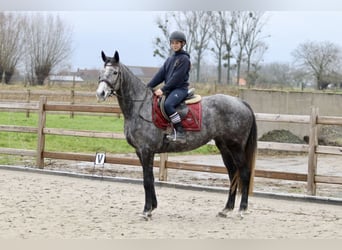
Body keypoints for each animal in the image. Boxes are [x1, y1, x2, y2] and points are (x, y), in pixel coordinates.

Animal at [96, 50, 256, 219]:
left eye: (115, 72)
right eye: (101, 71)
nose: (100, 93)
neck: (140, 107)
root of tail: (241, 102)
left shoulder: (146, 150)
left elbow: (147, 180)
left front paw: (146, 210)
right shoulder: (140, 151)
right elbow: (150, 178)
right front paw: (152, 207)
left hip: (236, 147)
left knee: (244, 172)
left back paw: (242, 209)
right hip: (224, 147)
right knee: (232, 173)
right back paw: (227, 209)